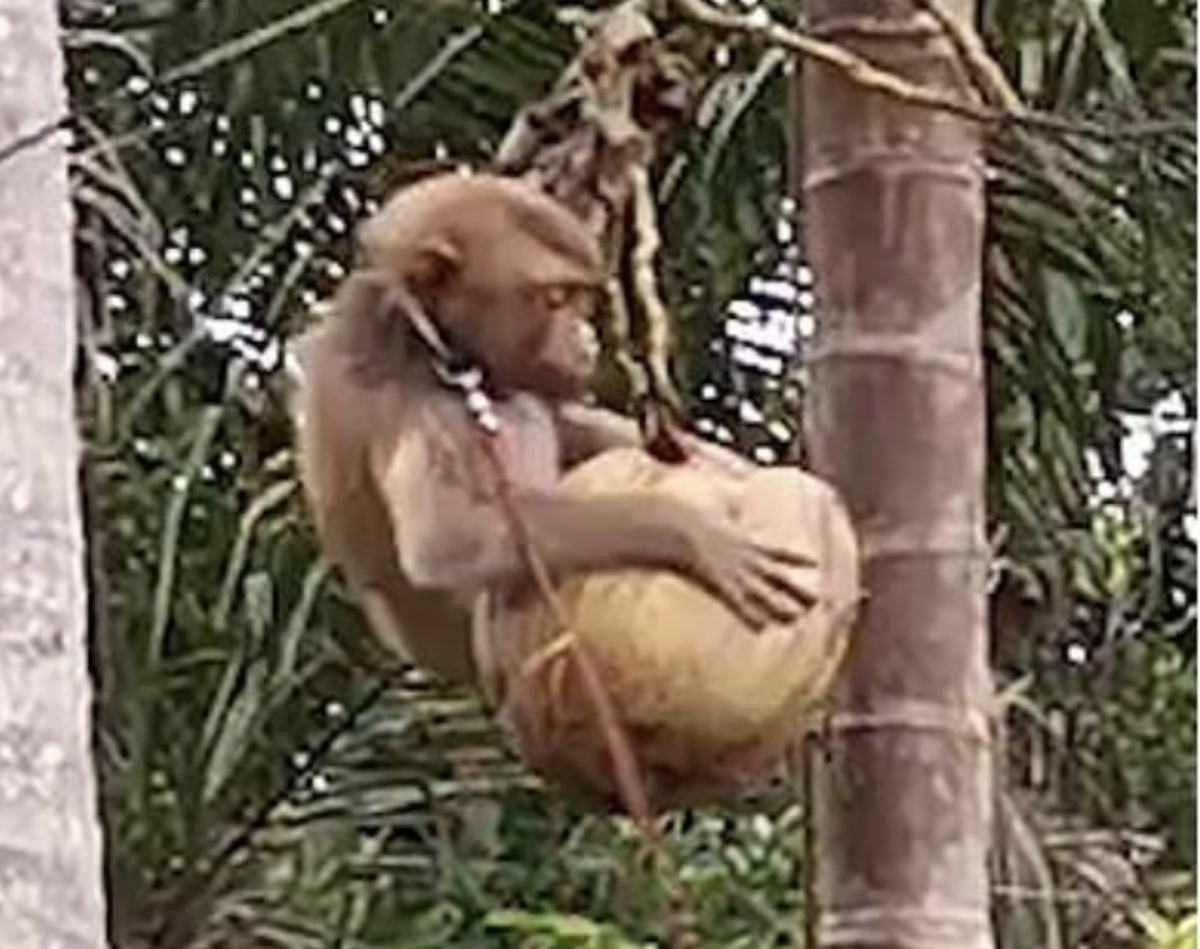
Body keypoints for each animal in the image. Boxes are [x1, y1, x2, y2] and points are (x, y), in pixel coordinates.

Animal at [292, 172, 817, 689]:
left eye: (577, 297)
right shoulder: (426, 401)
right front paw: (688, 531)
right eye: (554, 299)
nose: (584, 341)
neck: (420, 335)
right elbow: (450, 541)